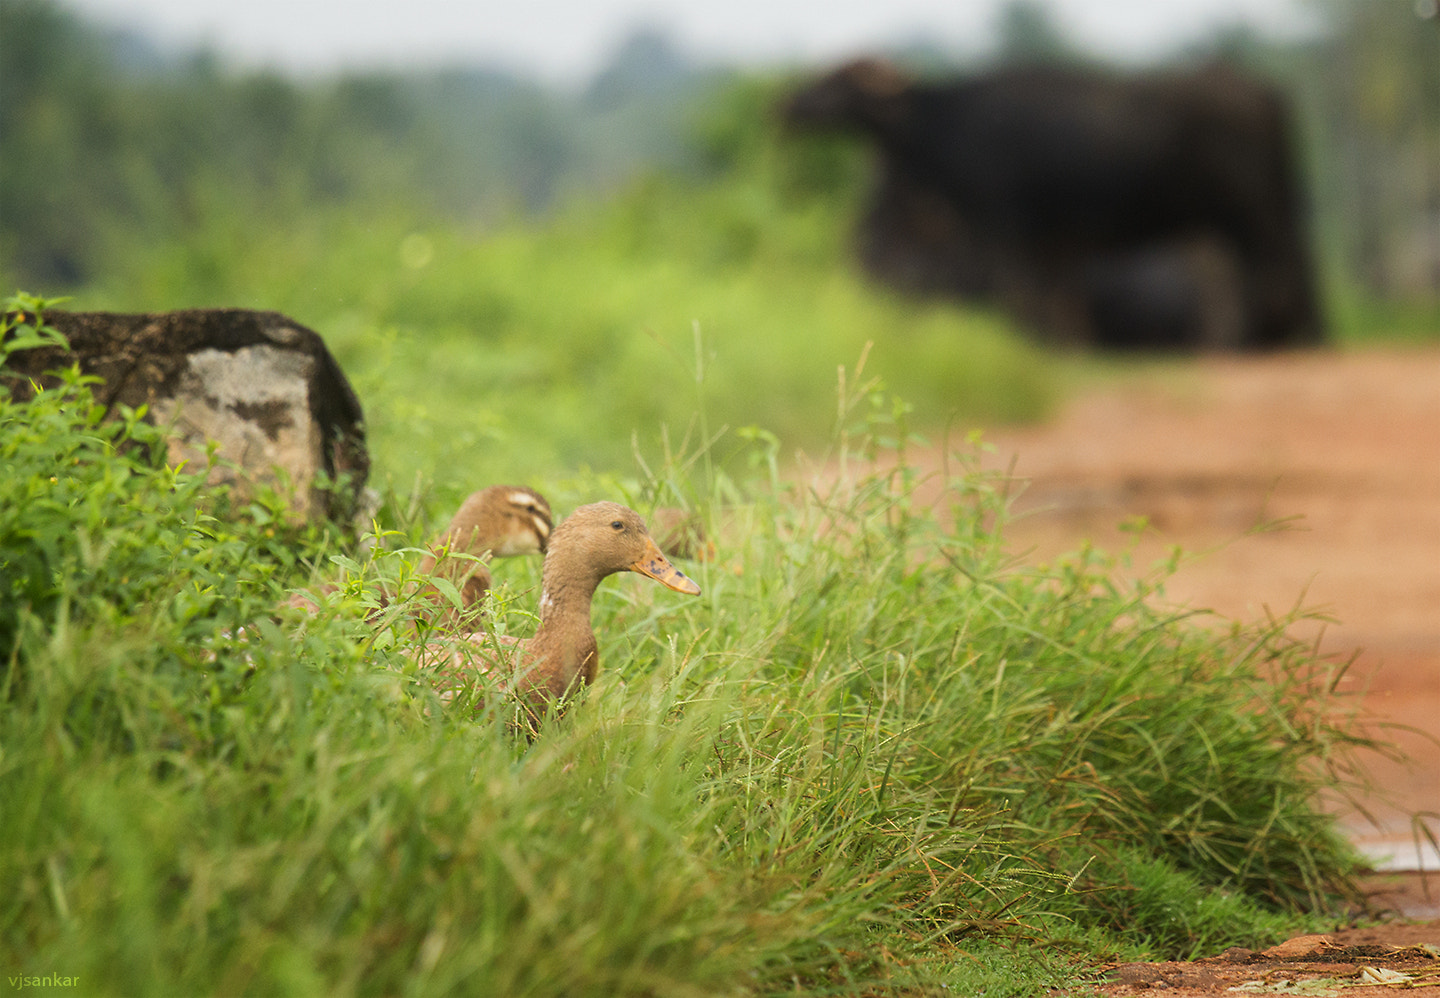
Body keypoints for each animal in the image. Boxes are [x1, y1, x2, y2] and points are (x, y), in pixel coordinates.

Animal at [783, 59, 1319, 349]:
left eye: (840, 80)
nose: (785, 106)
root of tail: (1267, 92)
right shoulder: (1050, 240)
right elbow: (1054, 299)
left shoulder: (1009, 226)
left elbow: (1029, 294)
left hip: (1252, 209)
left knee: (1279, 267)